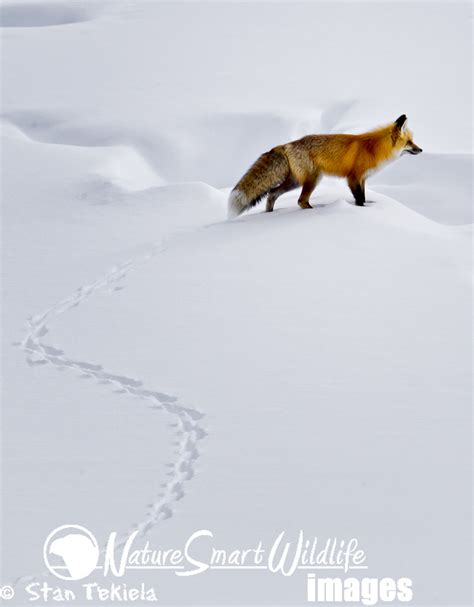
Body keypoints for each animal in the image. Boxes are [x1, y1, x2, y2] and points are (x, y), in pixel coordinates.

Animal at [229, 115, 422, 217]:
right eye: (410, 142)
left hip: (295, 182)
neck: (373, 149)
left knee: (271, 194)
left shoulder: (363, 179)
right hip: (312, 180)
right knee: (300, 201)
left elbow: (364, 197)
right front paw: (361, 210)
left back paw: (269, 214)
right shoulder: (353, 178)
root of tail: (287, 144)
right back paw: (314, 212)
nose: (421, 149)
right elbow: (359, 199)